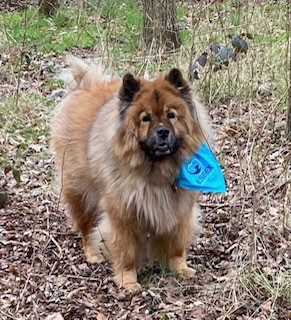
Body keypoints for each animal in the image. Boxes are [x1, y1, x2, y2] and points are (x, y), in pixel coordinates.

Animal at [50, 56, 214, 292]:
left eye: (171, 115)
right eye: (145, 118)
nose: (162, 131)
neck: (156, 171)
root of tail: (86, 86)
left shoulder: (179, 209)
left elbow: (176, 245)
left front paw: (180, 269)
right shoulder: (122, 215)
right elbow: (125, 251)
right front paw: (127, 280)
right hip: (80, 191)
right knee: (87, 226)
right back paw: (93, 254)